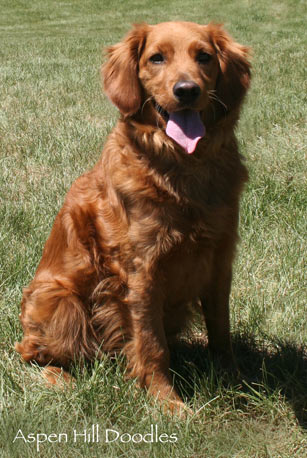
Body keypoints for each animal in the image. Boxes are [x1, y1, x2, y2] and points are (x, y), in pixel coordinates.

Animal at [15, 21, 251, 416]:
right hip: (61, 303)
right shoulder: (142, 270)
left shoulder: (220, 259)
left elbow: (221, 329)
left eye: (204, 56)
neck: (182, 169)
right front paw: (167, 403)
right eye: (156, 58)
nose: (187, 90)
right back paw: (59, 379)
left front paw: (234, 380)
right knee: (30, 353)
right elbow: (152, 345)